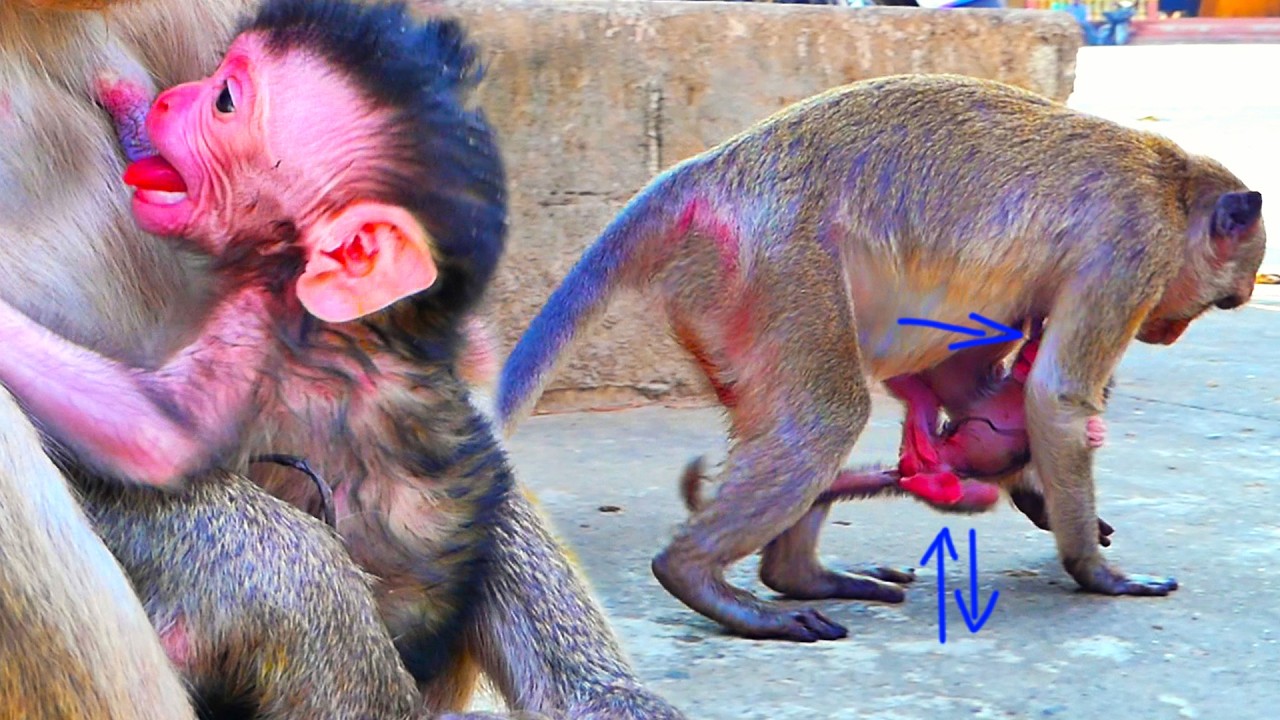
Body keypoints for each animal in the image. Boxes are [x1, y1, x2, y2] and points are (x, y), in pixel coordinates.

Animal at [496, 73, 1266, 642]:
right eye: (1222, 302)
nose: (1169, 334)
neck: (1172, 185)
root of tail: (706, 171)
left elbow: (972, 382)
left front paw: (1036, 494)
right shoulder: (1133, 250)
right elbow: (1054, 394)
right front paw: (1094, 568)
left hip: (723, 294)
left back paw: (798, 575)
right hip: (774, 267)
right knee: (824, 415)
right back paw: (699, 577)